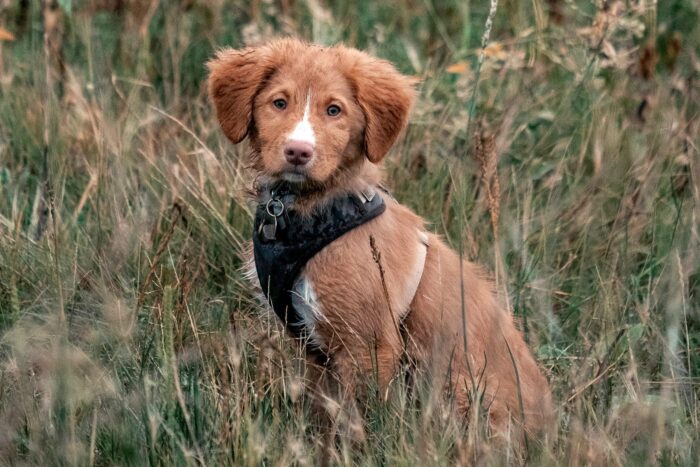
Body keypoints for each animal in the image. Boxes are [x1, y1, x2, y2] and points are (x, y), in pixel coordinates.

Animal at [208, 37, 552, 442]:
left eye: (334, 110)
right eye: (279, 103)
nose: (298, 152)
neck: (317, 210)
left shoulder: (369, 345)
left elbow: (360, 421)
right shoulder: (311, 347)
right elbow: (324, 412)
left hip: (456, 387)